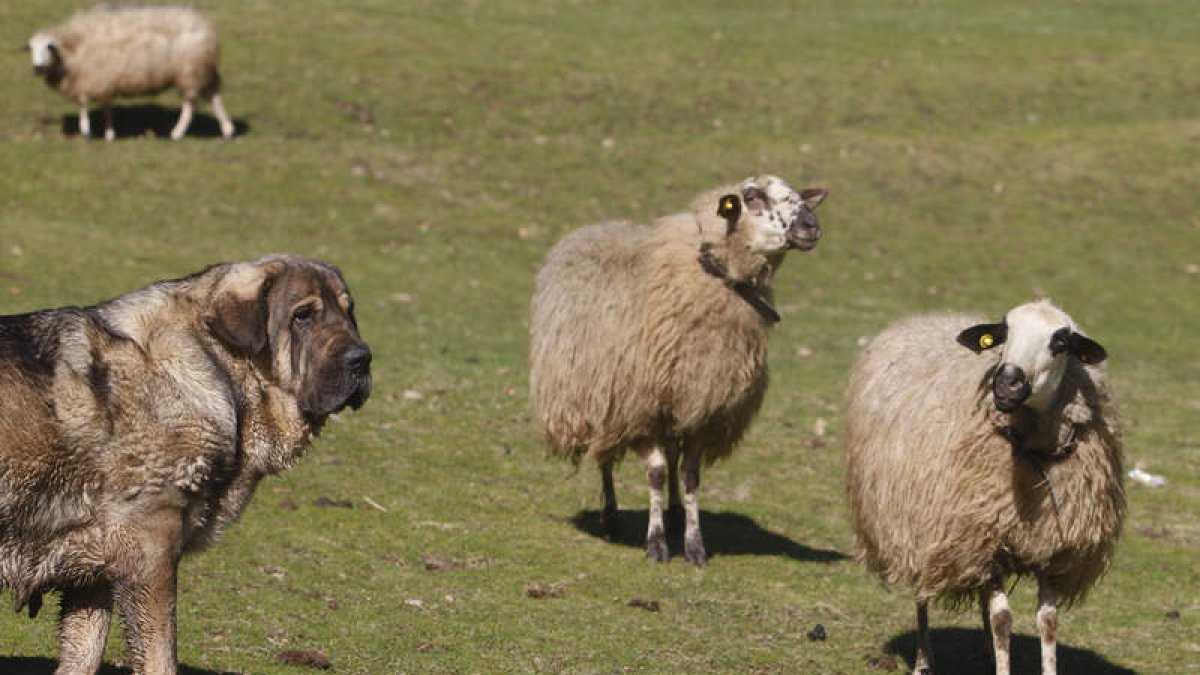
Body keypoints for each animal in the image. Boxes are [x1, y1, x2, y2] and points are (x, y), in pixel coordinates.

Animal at [0, 253, 369, 672]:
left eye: (349, 312)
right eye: (303, 316)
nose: (363, 360)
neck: (215, 365)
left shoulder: (92, 573)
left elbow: (84, 653)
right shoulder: (150, 552)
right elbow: (160, 655)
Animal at [28, 4, 234, 141]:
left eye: (48, 47)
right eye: (31, 48)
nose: (37, 68)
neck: (71, 50)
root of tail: (206, 27)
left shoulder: (91, 77)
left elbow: (84, 103)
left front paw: (86, 131)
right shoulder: (103, 79)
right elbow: (106, 105)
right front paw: (109, 133)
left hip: (190, 71)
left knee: (190, 104)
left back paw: (177, 133)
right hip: (201, 71)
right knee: (214, 96)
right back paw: (227, 130)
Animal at [530, 172, 830, 562]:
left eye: (800, 197)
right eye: (753, 197)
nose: (811, 226)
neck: (714, 275)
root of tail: (595, 227)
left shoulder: (703, 406)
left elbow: (689, 476)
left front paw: (693, 544)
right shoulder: (641, 406)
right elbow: (656, 474)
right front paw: (656, 544)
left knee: (671, 454)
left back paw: (673, 513)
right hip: (600, 395)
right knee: (606, 455)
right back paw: (611, 518)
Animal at [844, 299, 1123, 672]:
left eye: (1061, 342)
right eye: (1004, 333)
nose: (1005, 383)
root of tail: (925, 318)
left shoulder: (1051, 549)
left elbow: (1048, 621)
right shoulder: (983, 539)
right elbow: (1002, 619)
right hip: (920, 524)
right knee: (923, 591)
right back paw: (923, 660)